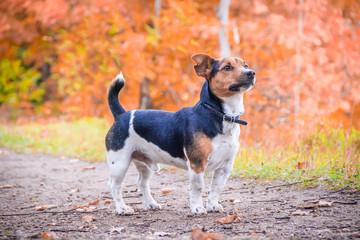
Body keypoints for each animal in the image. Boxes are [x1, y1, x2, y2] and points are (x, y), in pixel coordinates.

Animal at [105, 53, 255, 215]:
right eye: (227, 67)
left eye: (245, 65)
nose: (251, 73)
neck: (219, 115)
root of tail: (121, 115)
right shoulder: (197, 164)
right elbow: (198, 188)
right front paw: (197, 207)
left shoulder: (225, 167)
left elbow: (215, 189)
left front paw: (213, 205)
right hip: (119, 163)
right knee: (114, 186)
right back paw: (122, 208)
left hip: (144, 163)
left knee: (142, 183)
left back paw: (151, 203)